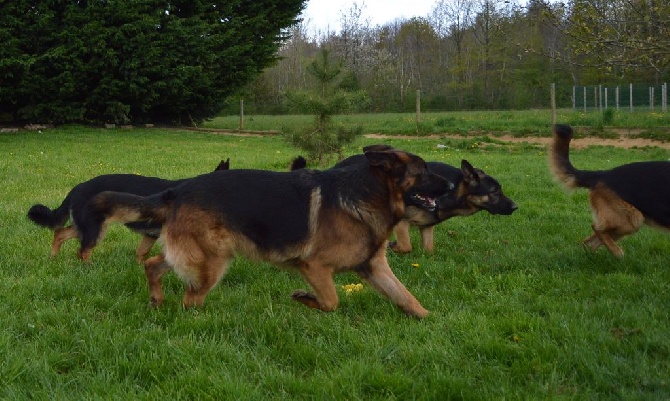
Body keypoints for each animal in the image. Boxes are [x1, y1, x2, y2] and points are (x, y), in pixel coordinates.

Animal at [27, 158, 231, 260]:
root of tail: (78, 187)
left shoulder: (150, 235)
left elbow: (142, 254)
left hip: (84, 226)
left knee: (60, 233)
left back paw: (53, 258)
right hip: (95, 229)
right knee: (83, 251)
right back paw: (88, 269)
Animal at [86, 145, 448, 318]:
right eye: (423, 171)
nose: (449, 185)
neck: (367, 194)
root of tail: (178, 190)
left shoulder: (373, 266)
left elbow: (405, 296)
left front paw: (428, 319)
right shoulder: (314, 266)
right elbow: (331, 301)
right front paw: (305, 298)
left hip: (196, 256)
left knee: (152, 265)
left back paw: (156, 300)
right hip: (212, 262)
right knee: (190, 299)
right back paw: (202, 321)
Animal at [290, 154, 520, 252]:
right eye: (495, 191)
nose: (515, 207)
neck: (452, 190)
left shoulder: (427, 227)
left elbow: (429, 249)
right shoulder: (401, 223)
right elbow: (406, 246)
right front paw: (393, 247)